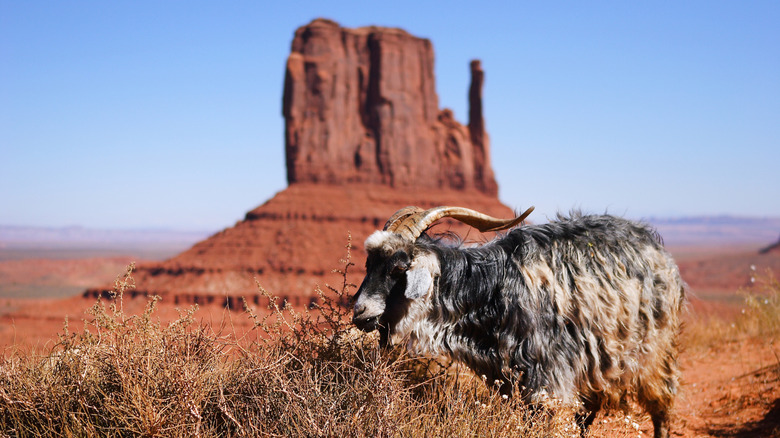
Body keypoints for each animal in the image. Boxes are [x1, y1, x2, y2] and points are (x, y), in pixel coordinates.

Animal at [352, 206, 685, 438]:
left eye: (399, 268)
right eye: (369, 264)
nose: (359, 311)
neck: (490, 291)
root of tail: (653, 245)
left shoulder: (549, 380)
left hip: (654, 354)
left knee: (661, 408)